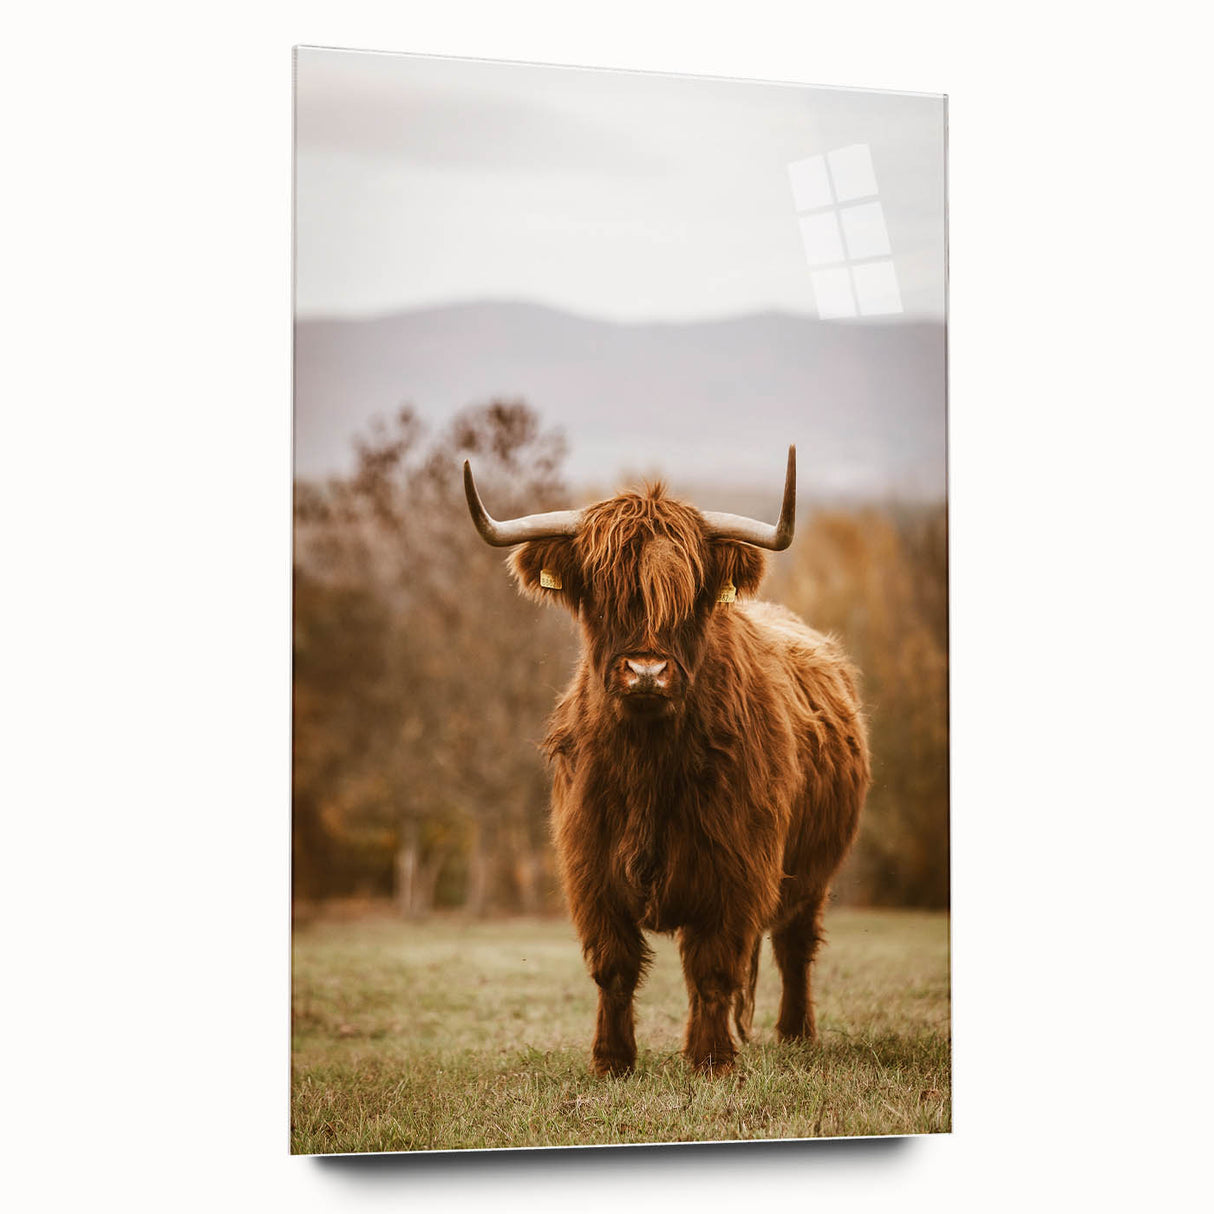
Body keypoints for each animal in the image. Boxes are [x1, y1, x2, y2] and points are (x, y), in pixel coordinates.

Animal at [464, 447, 870, 1076]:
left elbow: (714, 966)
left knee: (794, 944)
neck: (648, 763)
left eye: (690, 597)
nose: (647, 672)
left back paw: (796, 1034)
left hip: (813, 871)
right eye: (600, 592)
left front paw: (711, 1060)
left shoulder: (737, 868)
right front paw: (612, 1061)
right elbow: (614, 967)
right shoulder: (590, 867)